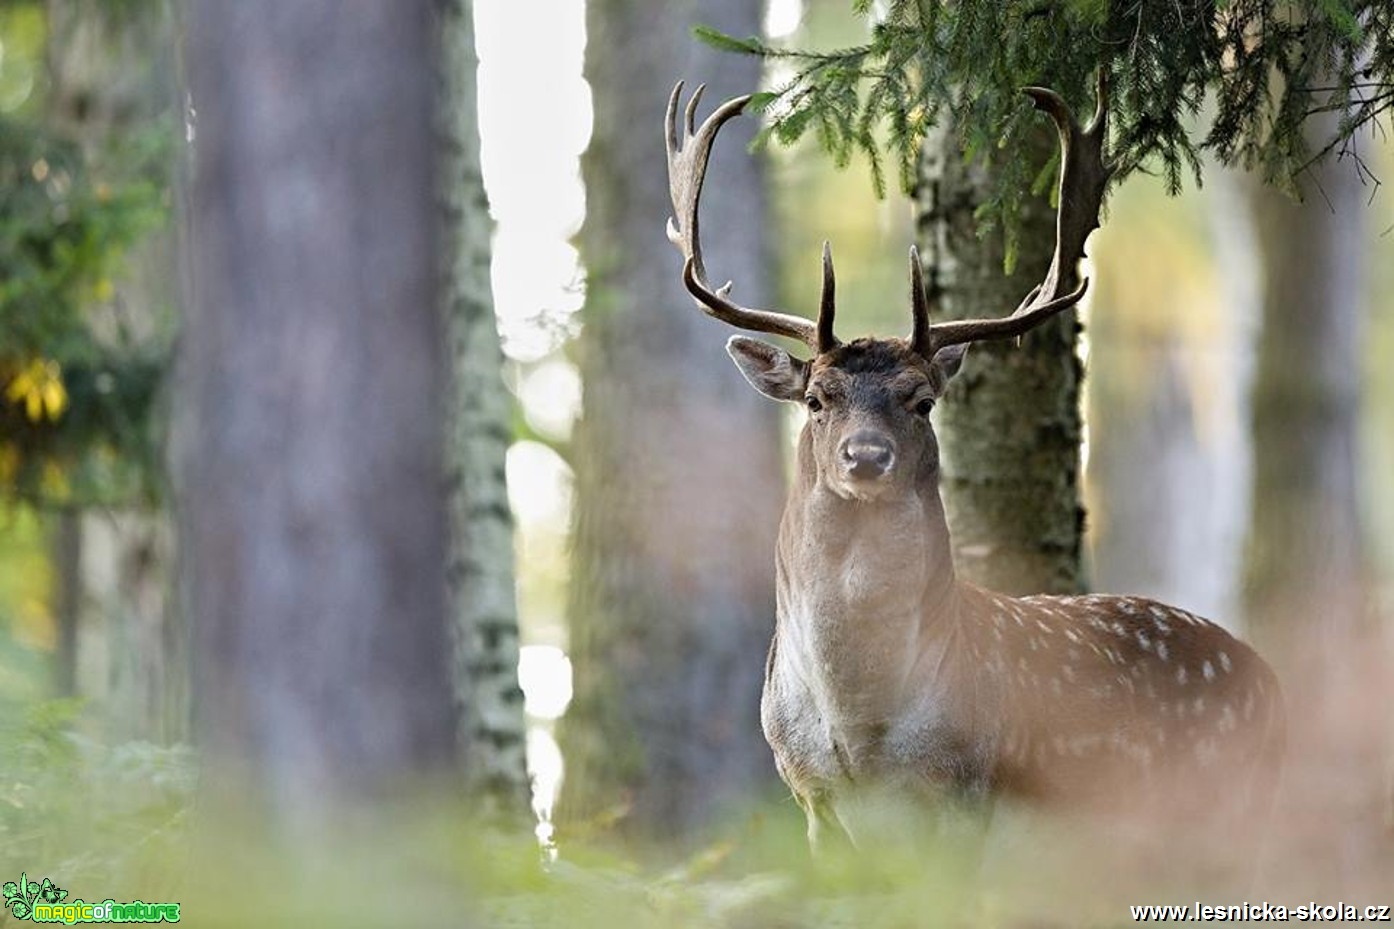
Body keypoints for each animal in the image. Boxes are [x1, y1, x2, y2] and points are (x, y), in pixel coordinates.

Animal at [663, 79, 1282, 853]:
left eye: (922, 400)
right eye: (815, 398)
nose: (866, 456)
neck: (862, 732)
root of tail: (1278, 689)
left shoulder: (965, 789)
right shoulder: (810, 796)